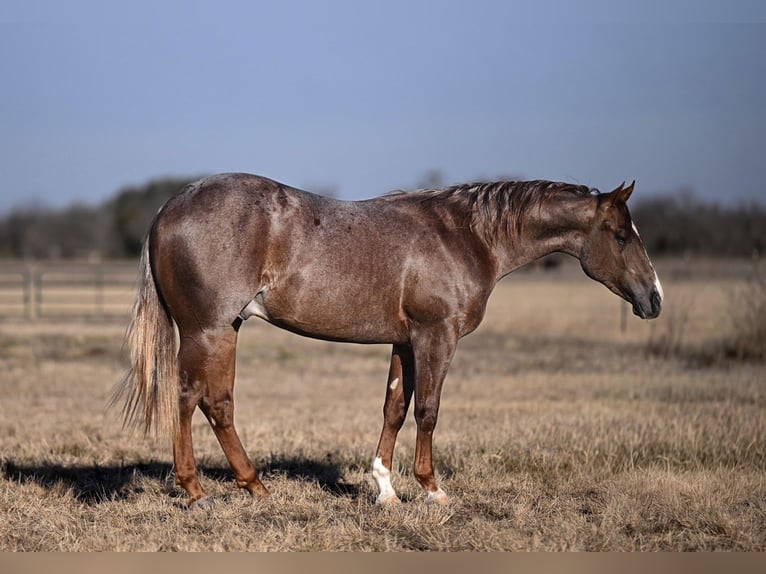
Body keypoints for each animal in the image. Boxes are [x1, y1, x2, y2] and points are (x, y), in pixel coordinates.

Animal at [114, 173, 663, 506]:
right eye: (620, 235)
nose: (654, 299)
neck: (466, 236)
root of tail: (169, 208)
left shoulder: (405, 341)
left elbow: (394, 409)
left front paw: (385, 489)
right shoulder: (436, 336)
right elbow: (428, 411)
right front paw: (432, 489)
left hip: (224, 329)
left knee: (214, 404)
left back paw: (252, 486)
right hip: (207, 331)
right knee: (196, 399)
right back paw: (200, 489)